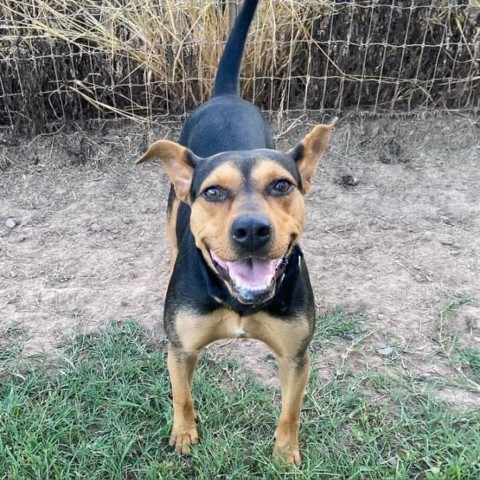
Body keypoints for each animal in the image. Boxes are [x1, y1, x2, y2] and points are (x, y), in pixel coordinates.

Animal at [137, 0, 336, 464]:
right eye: (213, 192)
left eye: (281, 185)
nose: (251, 230)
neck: (239, 300)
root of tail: (225, 96)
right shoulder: (181, 348)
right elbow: (181, 395)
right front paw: (184, 434)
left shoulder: (296, 356)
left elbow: (290, 410)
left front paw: (285, 452)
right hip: (170, 211)